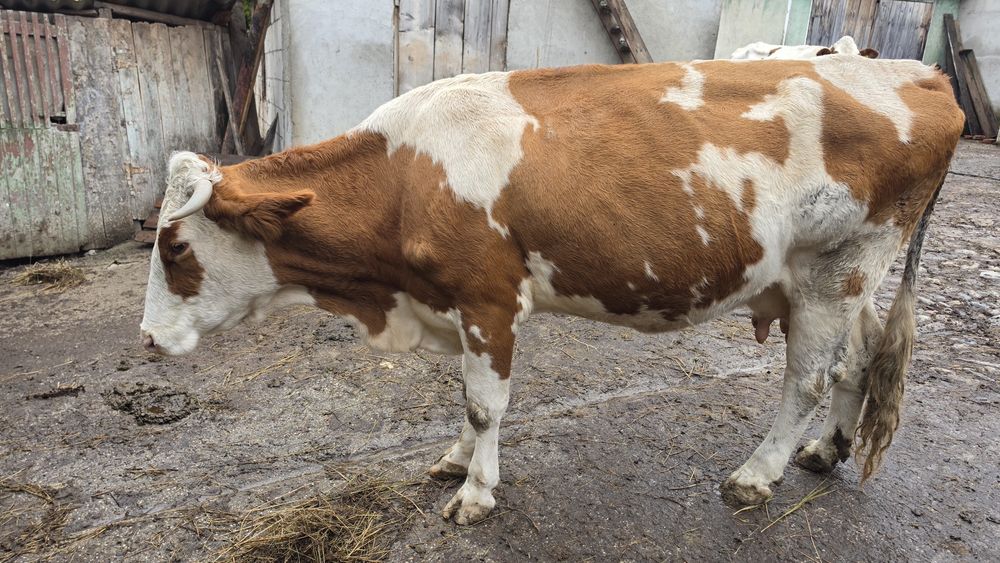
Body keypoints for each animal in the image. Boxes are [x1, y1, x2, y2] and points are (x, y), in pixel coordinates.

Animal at [140, 55, 963, 525]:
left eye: (175, 246)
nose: (147, 338)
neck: (404, 179)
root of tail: (919, 72)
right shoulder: (455, 303)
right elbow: (463, 398)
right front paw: (455, 458)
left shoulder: (489, 297)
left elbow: (485, 402)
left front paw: (476, 492)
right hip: (843, 278)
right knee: (857, 361)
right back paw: (827, 451)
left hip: (834, 269)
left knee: (807, 379)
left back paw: (756, 476)